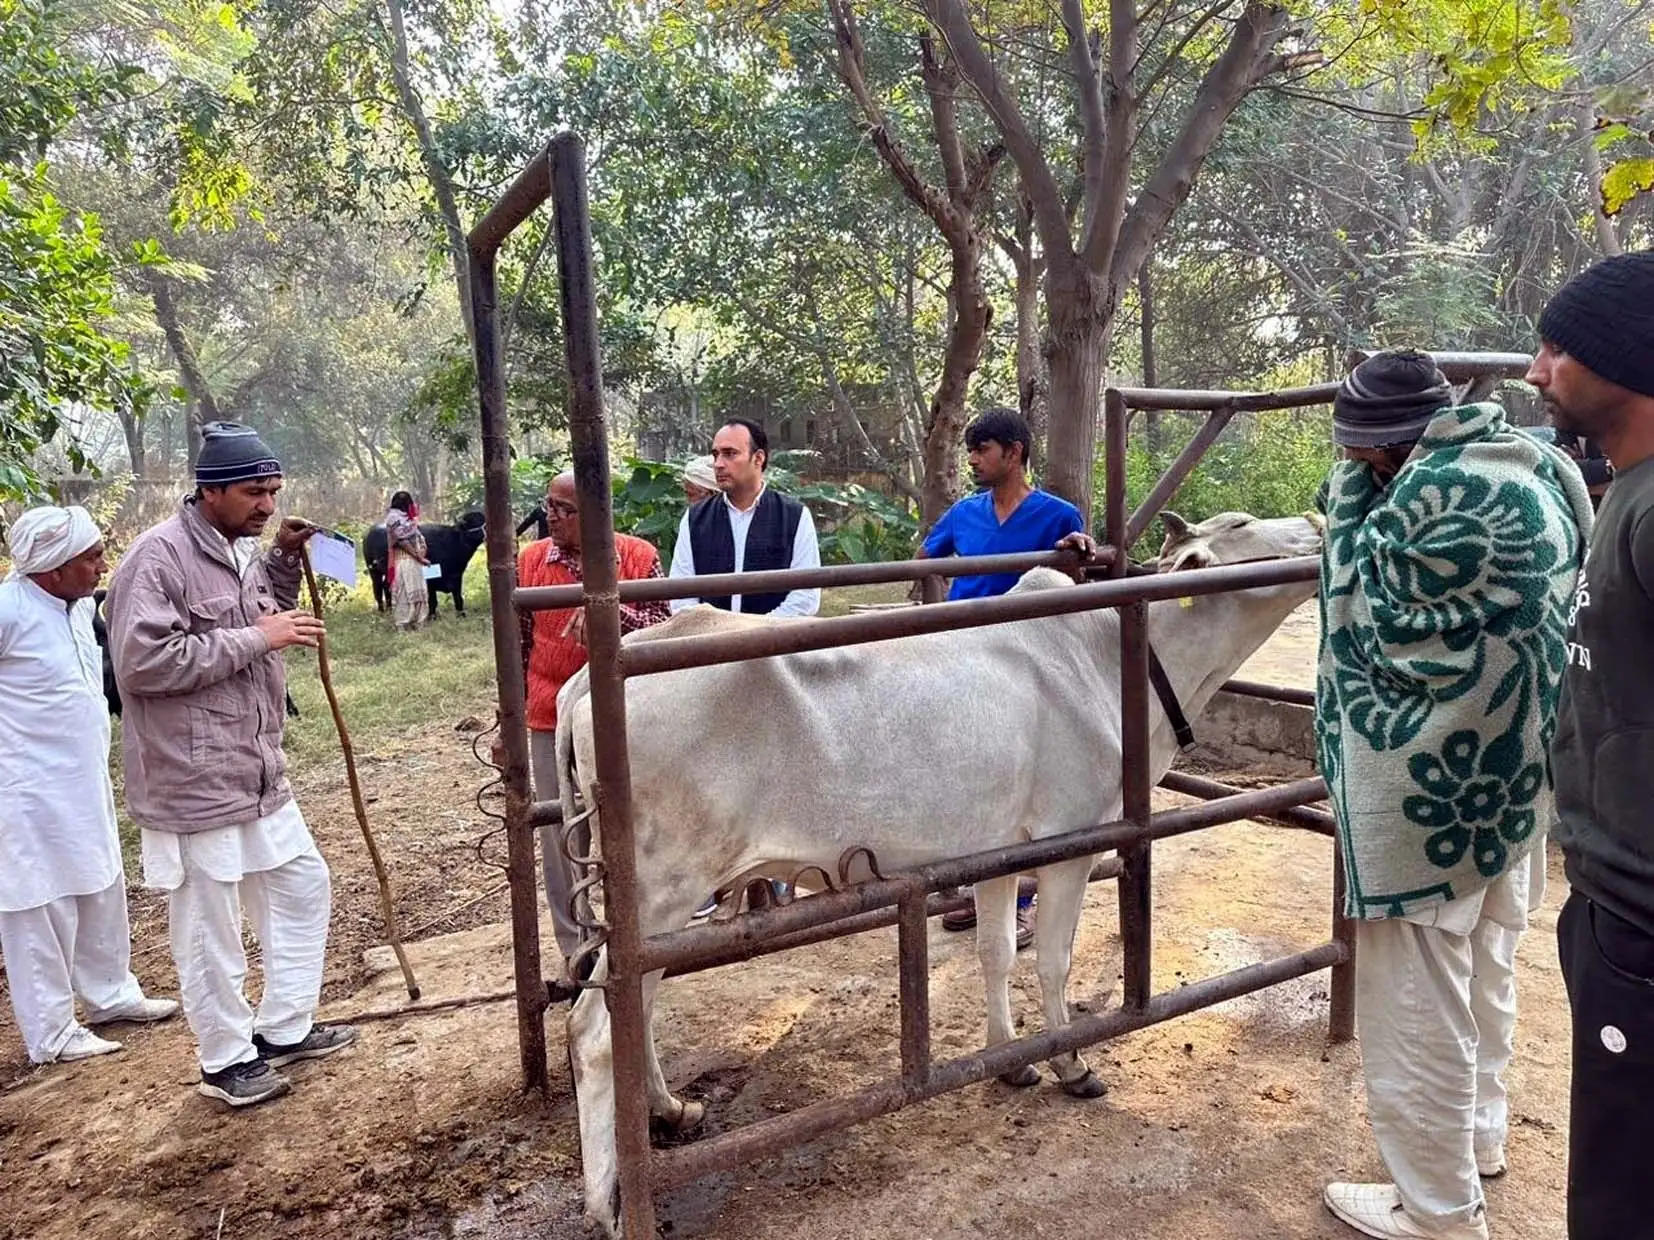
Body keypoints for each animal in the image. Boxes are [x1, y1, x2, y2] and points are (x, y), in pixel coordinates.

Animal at [562, 505, 1323, 1236]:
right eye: (1242, 525)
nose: (1319, 520)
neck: (1118, 659)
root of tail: (590, 681)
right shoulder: (1072, 840)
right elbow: (1052, 962)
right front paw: (1070, 1062)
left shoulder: (1000, 851)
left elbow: (996, 953)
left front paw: (1009, 1059)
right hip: (661, 889)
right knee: (594, 1030)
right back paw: (607, 1203)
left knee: (637, 1010)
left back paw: (668, 1110)